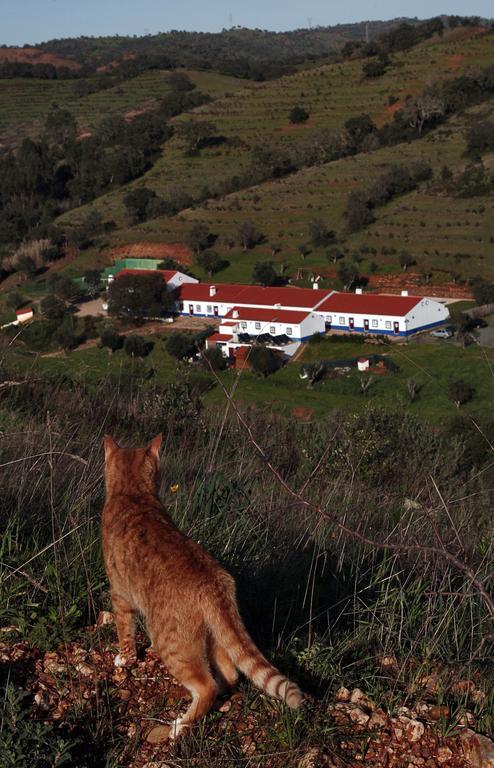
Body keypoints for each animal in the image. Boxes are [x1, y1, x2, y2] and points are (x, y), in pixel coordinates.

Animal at [102, 432, 302, 736]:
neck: (133, 494)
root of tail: (213, 581)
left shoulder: (120, 596)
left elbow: (125, 633)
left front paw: (124, 658)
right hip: (214, 635)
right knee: (230, 672)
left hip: (172, 644)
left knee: (205, 686)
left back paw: (180, 725)